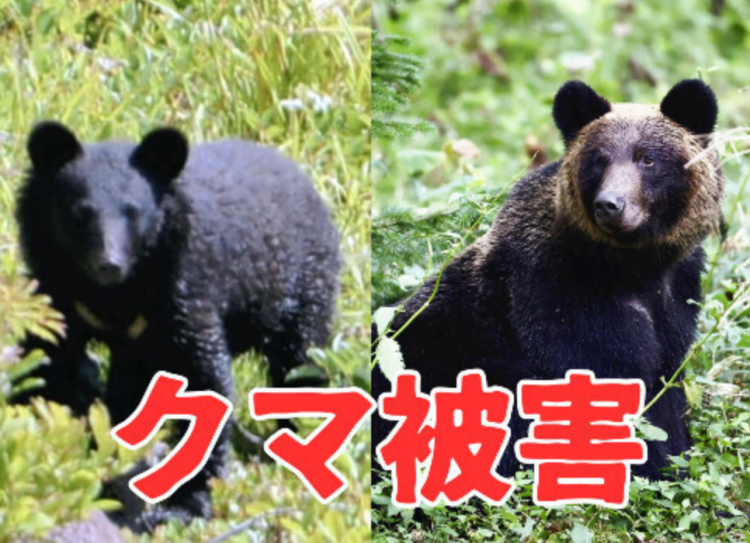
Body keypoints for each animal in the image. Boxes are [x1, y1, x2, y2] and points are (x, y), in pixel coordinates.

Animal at [15, 121, 340, 530]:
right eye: (80, 213)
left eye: (133, 212)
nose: (109, 264)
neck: (116, 294)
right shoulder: (59, 295)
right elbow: (46, 360)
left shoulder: (185, 292)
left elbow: (203, 376)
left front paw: (184, 505)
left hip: (301, 286)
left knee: (300, 361)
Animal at [372, 79, 723, 481]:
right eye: (600, 158)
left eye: (647, 158)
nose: (610, 204)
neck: (635, 265)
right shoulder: (561, 294)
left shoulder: (678, 295)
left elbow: (665, 387)